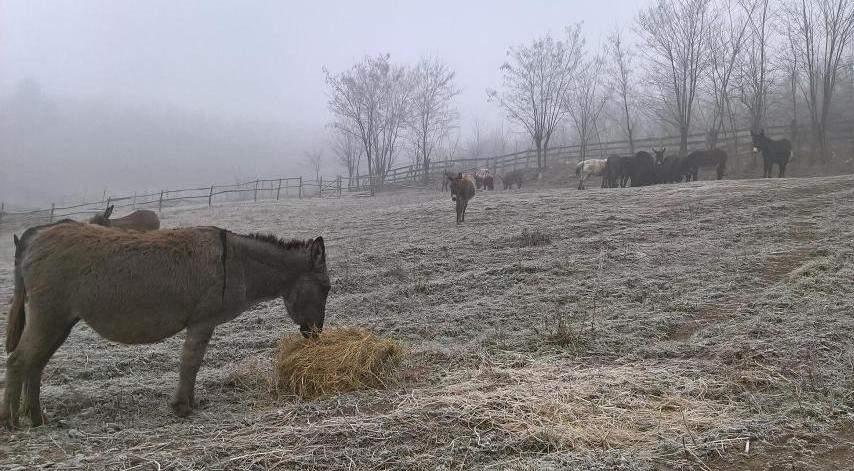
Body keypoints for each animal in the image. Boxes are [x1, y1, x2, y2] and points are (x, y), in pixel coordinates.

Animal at [2, 221, 332, 428]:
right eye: (326, 288)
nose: (315, 335)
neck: (237, 262)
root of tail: (34, 240)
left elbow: (191, 363)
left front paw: (188, 402)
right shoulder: (202, 321)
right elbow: (191, 362)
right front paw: (182, 407)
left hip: (60, 322)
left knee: (35, 364)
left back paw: (37, 419)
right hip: (49, 317)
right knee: (18, 360)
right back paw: (11, 422)